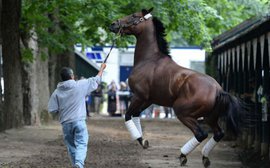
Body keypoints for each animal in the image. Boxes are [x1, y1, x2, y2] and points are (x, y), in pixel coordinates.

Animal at [109, 7, 243, 167]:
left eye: (134, 16)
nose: (113, 24)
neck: (149, 59)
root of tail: (218, 89)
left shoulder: (138, 96)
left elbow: (128, 115)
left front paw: (140, 139)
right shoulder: (148, 100)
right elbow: (135, 115)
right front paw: (143, 141)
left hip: (183, 112)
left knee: (201, 134)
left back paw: (183, 155)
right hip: (210, 117)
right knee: (218, 133)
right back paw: (205, 157)